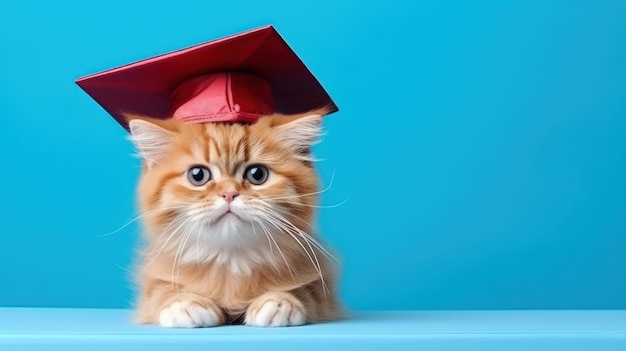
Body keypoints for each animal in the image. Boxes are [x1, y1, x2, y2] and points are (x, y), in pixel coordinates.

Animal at [125, 108, 342, 328]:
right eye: (198, 175)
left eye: (257, 174)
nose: (229, 194)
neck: (230, 260)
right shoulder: (154, 284)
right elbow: (161, 291)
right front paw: (184, 303)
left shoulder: (323, 292)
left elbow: (304, 291)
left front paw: (279, 301)